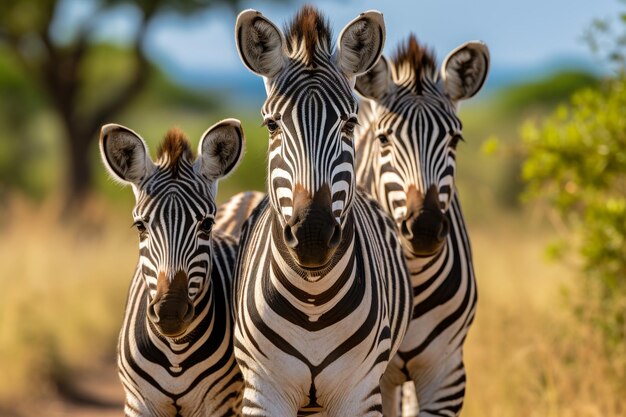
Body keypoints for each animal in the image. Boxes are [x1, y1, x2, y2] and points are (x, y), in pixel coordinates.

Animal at [97, 118, 244, 416]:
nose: (169, 313)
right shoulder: (138, 403)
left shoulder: (220, 403)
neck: (176, 352)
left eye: (207, 224)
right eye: (140, 226)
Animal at [232, 6, 412, 416]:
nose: (312, 235)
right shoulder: (263, 390)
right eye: (272, 125)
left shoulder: (360, 392)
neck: (312, 300)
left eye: (349, 123)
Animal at [352, 34, 488, 414]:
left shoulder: (446, 374)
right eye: (384, 139)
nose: (425, 228)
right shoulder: (370, 378)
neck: (413, 276)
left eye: (454, 140)